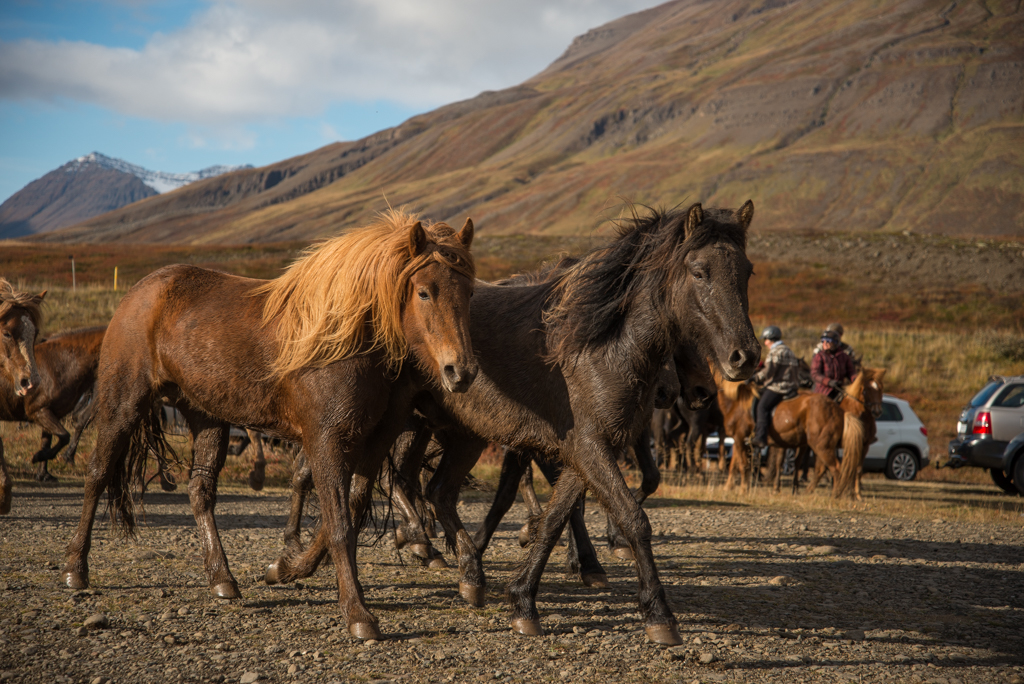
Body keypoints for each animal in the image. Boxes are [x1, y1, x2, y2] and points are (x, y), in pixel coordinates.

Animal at [61, 209, 477, 643]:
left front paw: (287, 569)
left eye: (469, 293)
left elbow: (349, 511)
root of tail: (139, 292)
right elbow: (340, 523)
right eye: (424, 292)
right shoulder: (326, 442)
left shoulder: (373, 443)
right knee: (98, 474)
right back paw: (76, 570)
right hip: (124, 405)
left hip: (206, 417)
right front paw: (358, 613)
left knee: (200, 491)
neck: (346, 338)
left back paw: (222, 579)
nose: (460, 372)